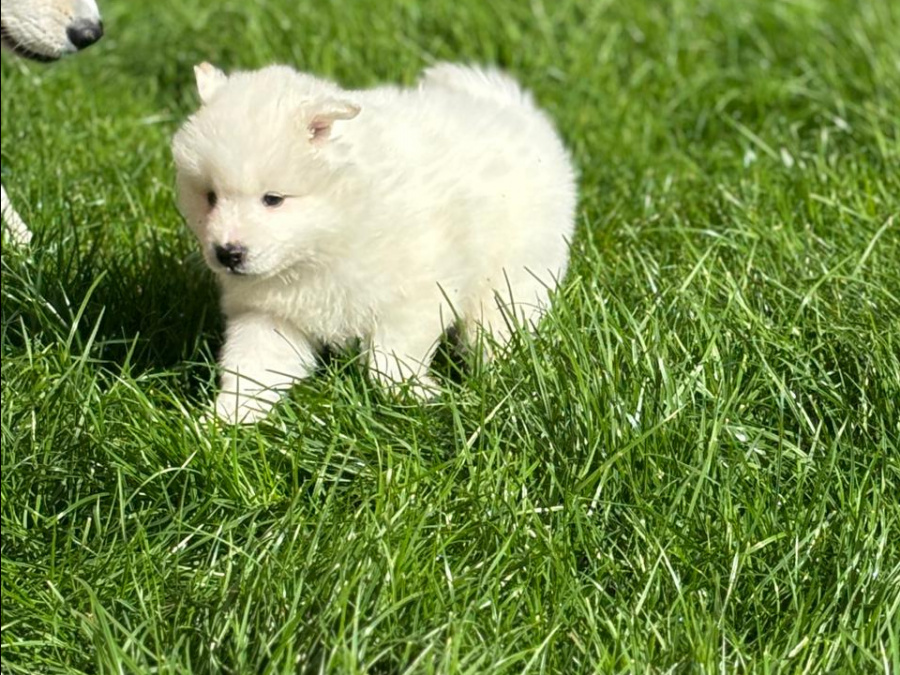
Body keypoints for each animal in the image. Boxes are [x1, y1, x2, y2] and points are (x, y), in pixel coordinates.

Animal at [172, 62, 576, 422]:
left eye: (273, 199)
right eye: (209, 197)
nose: (228, 253)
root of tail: (515, 110)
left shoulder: (414, 295)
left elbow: (388, 360)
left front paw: (414, 395)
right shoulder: (270, 314)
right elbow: (252, 367)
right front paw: (226, 419)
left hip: (515, 272)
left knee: (499, 325)